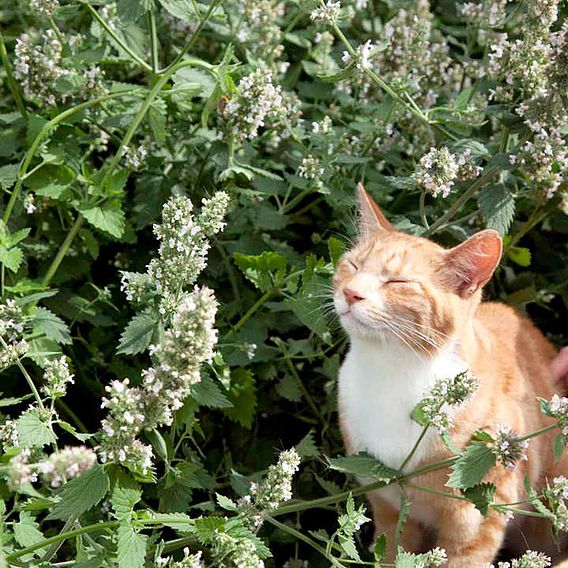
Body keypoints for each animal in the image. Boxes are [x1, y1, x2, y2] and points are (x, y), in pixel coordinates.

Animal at [336, 185, 564, 564]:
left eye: (398, 282)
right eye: (353, 265)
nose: (350, 292)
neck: (391, 369)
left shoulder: (476, 519)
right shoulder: (388, 508)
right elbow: (392, 553)